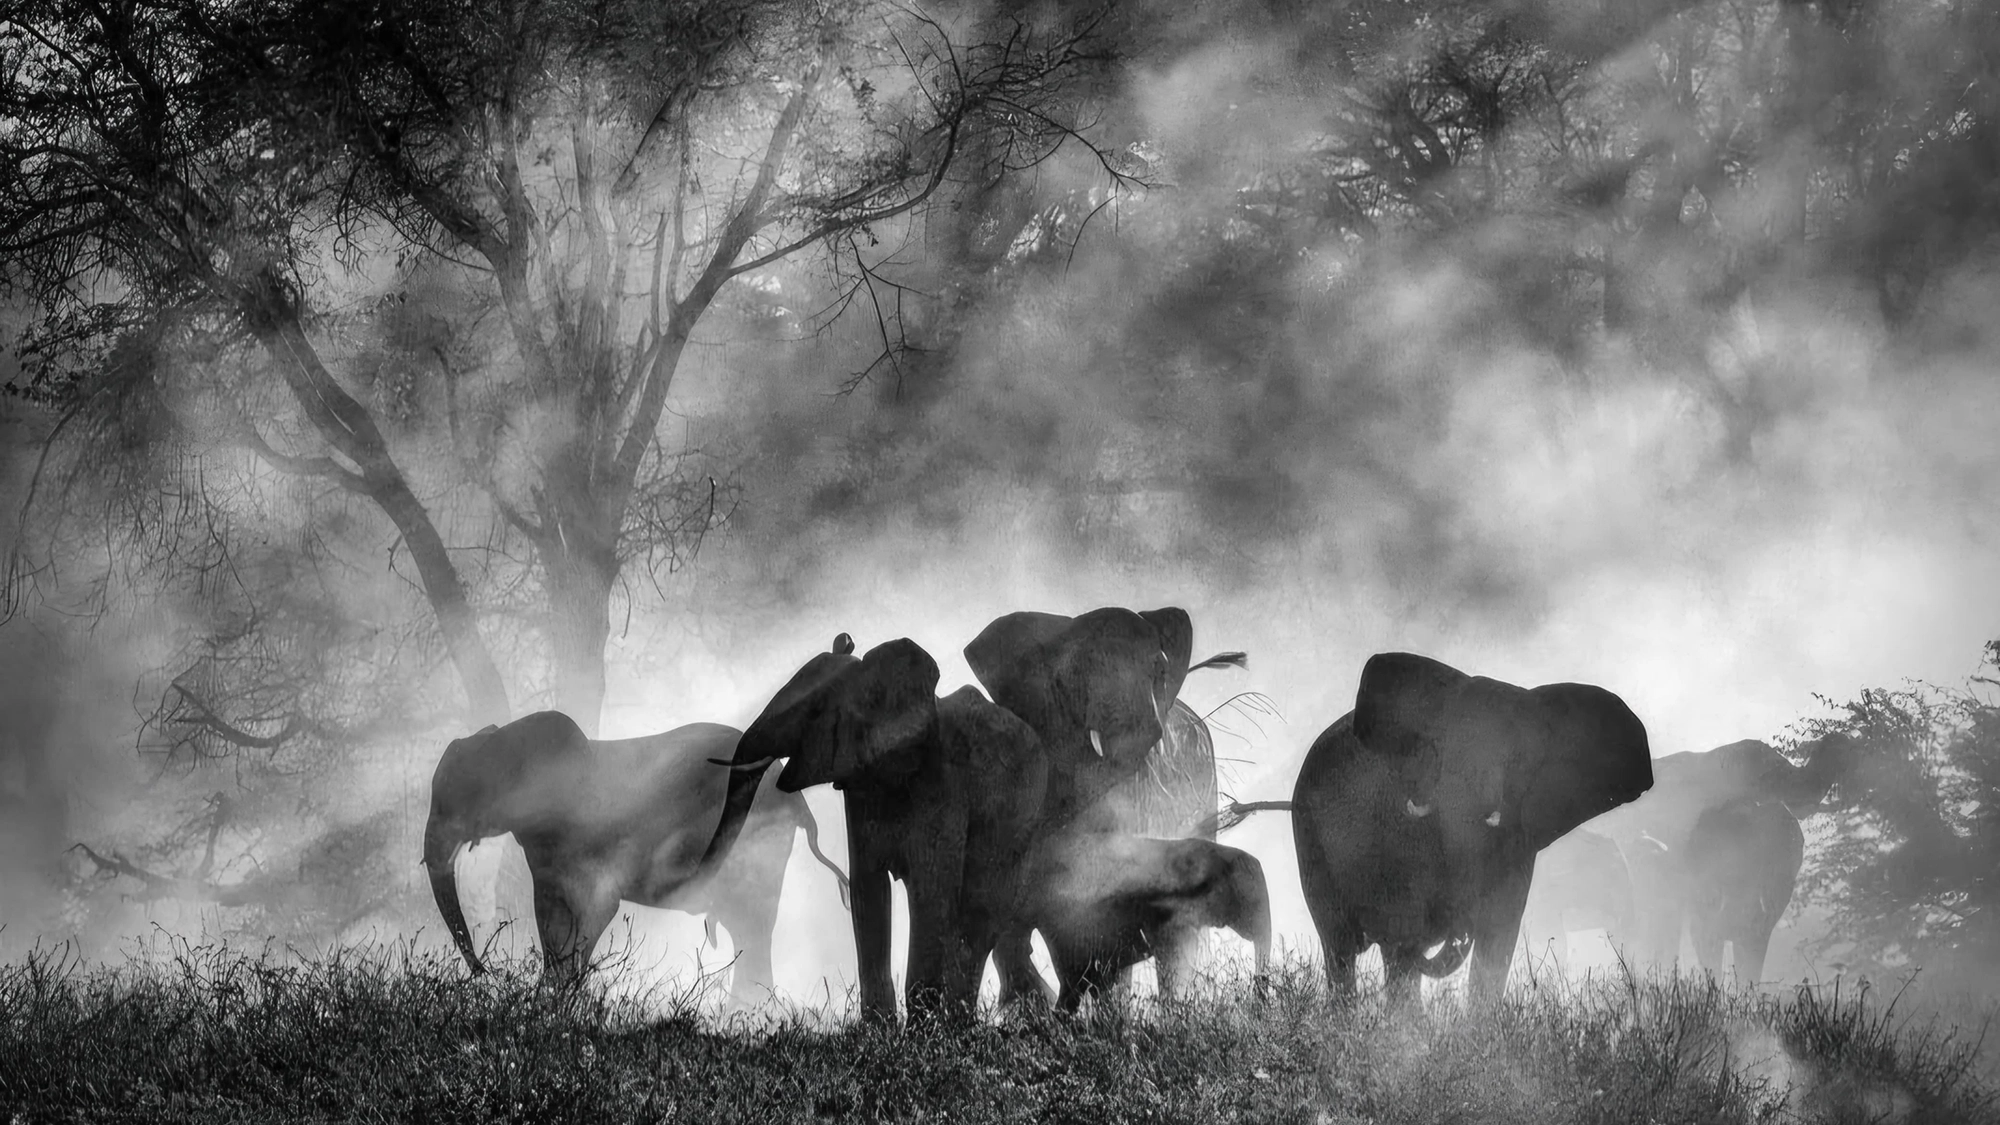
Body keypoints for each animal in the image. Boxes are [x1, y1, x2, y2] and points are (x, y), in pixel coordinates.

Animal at [422, 711, 849, 998]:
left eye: (465, 796)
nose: (485, 972)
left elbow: (597, 909)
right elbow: (551, 919)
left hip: (757, 843)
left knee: (752, 926)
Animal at [695, 633, 1050, 1023]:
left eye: (816, 711)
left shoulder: (944, 784)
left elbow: (930, 888)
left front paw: (922, 1030)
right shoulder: (860, 786)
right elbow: (868, 888)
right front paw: (878, 1028)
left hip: (1021, 821)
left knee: (981, 912)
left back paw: (961, 1022)